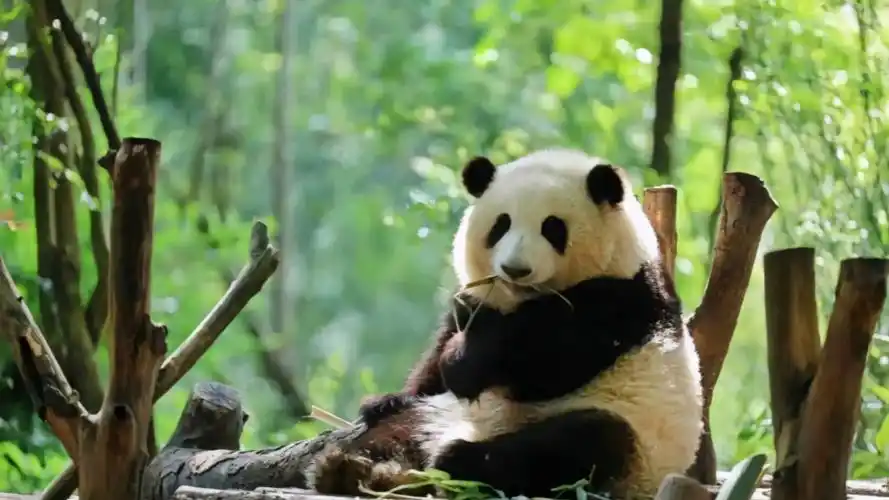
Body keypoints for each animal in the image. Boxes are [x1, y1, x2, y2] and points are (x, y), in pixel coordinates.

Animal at [306, 148, 704, 499]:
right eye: (501, 225)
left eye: (553, 228)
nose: (515, 269)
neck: (521, 299)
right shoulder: (474, 298)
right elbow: (437, 359)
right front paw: (386, 399)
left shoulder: (621, 300)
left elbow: (545, 362)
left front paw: (463, 359)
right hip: (439, 415)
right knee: (402, 429)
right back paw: (357, 470)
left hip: (634, 448)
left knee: (580, 444)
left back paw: (456, 463)